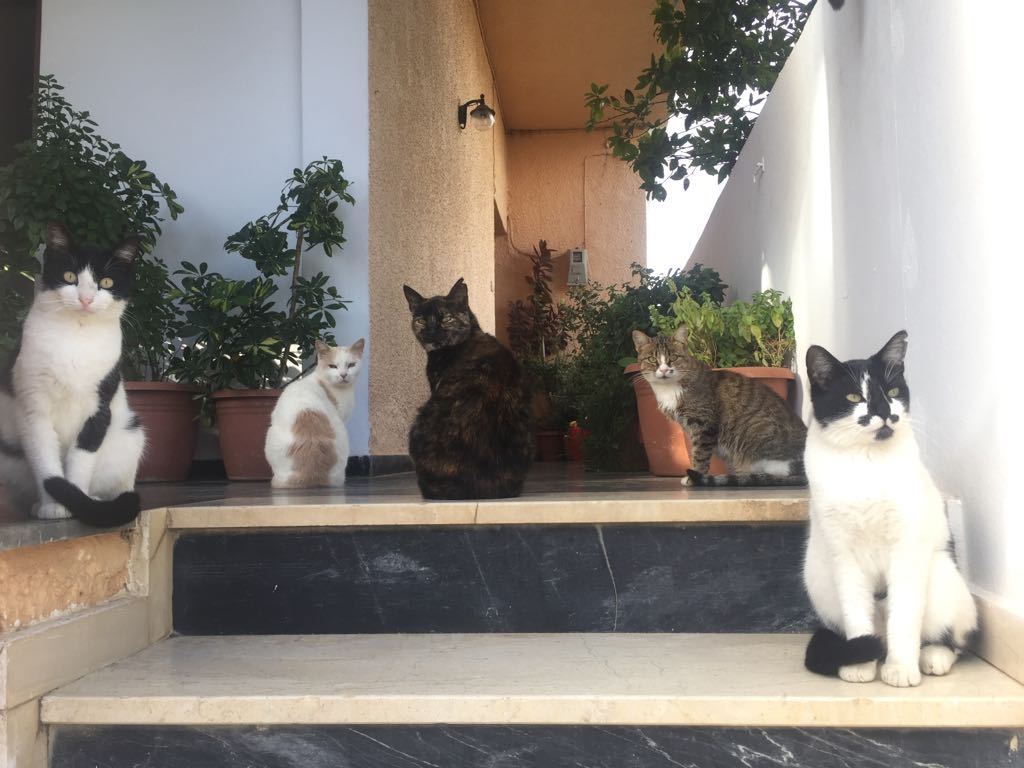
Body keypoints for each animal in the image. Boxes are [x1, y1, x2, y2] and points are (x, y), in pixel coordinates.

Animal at [0, 224, 146, 528]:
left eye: (106, 282)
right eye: (70, 277)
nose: (86, 299)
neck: (77, 335)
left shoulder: (99, 409)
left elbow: (80, 460)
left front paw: (76, 503)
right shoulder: (34, 410)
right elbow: (45, 462)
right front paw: (53, 507)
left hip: (131, 436)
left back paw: (96, 500)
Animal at [630, 325, 806, 487]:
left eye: (673, 358)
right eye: (652, 359)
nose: (664, 369)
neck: (669, 388)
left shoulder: (703, 424)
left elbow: (699, 454)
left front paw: (693, 477)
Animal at [798, 333, 974, 688]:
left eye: (892, 392)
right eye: (854, 396)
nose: (883, 412)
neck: (867, 462)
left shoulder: (907, 551)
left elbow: (904, 619)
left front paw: (901, 669)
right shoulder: (844, 557)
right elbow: (856, 616)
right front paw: (860, 665)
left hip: (941, 574)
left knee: (954, 638)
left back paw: (933, 657)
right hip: (818, 578)